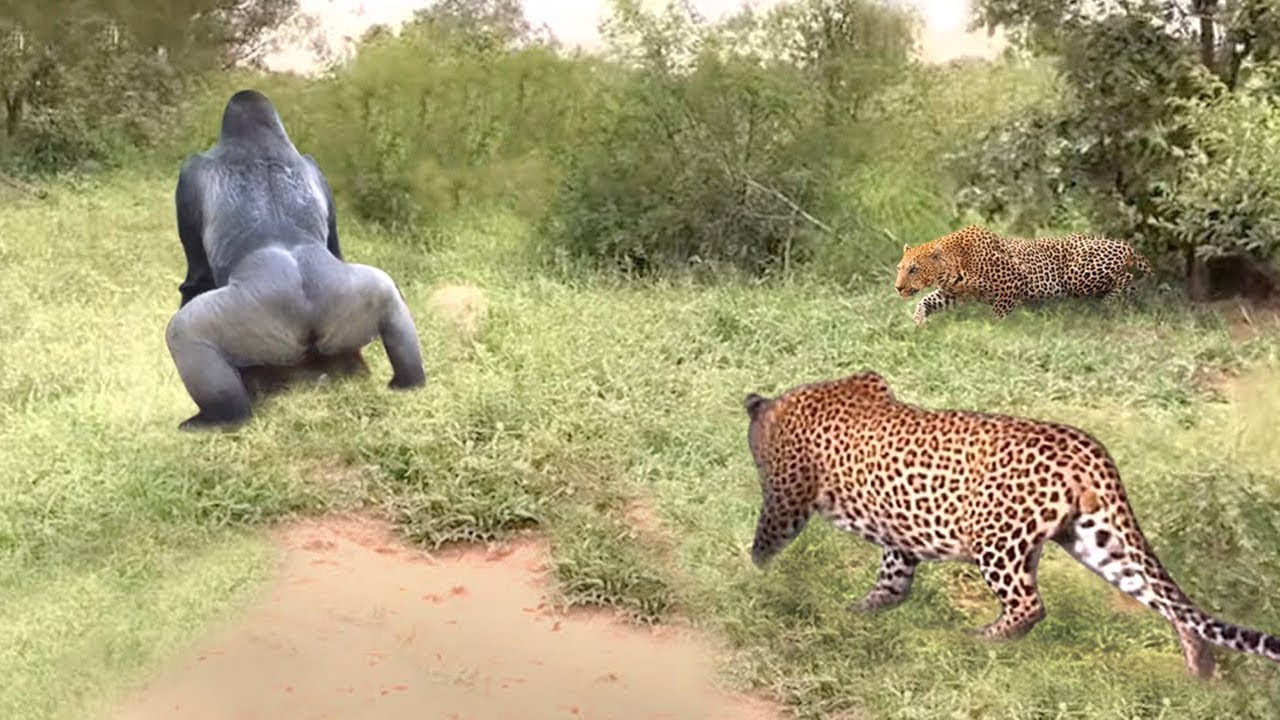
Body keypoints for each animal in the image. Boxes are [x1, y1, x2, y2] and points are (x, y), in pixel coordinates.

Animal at [743, 371, 1280, 678]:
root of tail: (1089, 448)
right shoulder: (898, 539)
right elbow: (892, 584)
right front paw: (859, 612)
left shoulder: (786, 499)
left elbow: (762, 547)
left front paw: (749, 586)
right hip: (1095, 538)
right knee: (1168, 598)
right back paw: (1200, 667)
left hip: (997, 538)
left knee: (1029, 605)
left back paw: (980, 641)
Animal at [895, 224, 1153, 327]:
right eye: (900, 268)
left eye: (913, 269)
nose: (897, 288)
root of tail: (1124, 243)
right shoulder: (954, 294)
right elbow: (924, 301)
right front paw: (919, 321)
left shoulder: (1014, 282)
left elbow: (997, 315)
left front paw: (991, 329)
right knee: (1130, 284)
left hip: (1078, 276)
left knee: (1126, 278)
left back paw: (1108, 303)